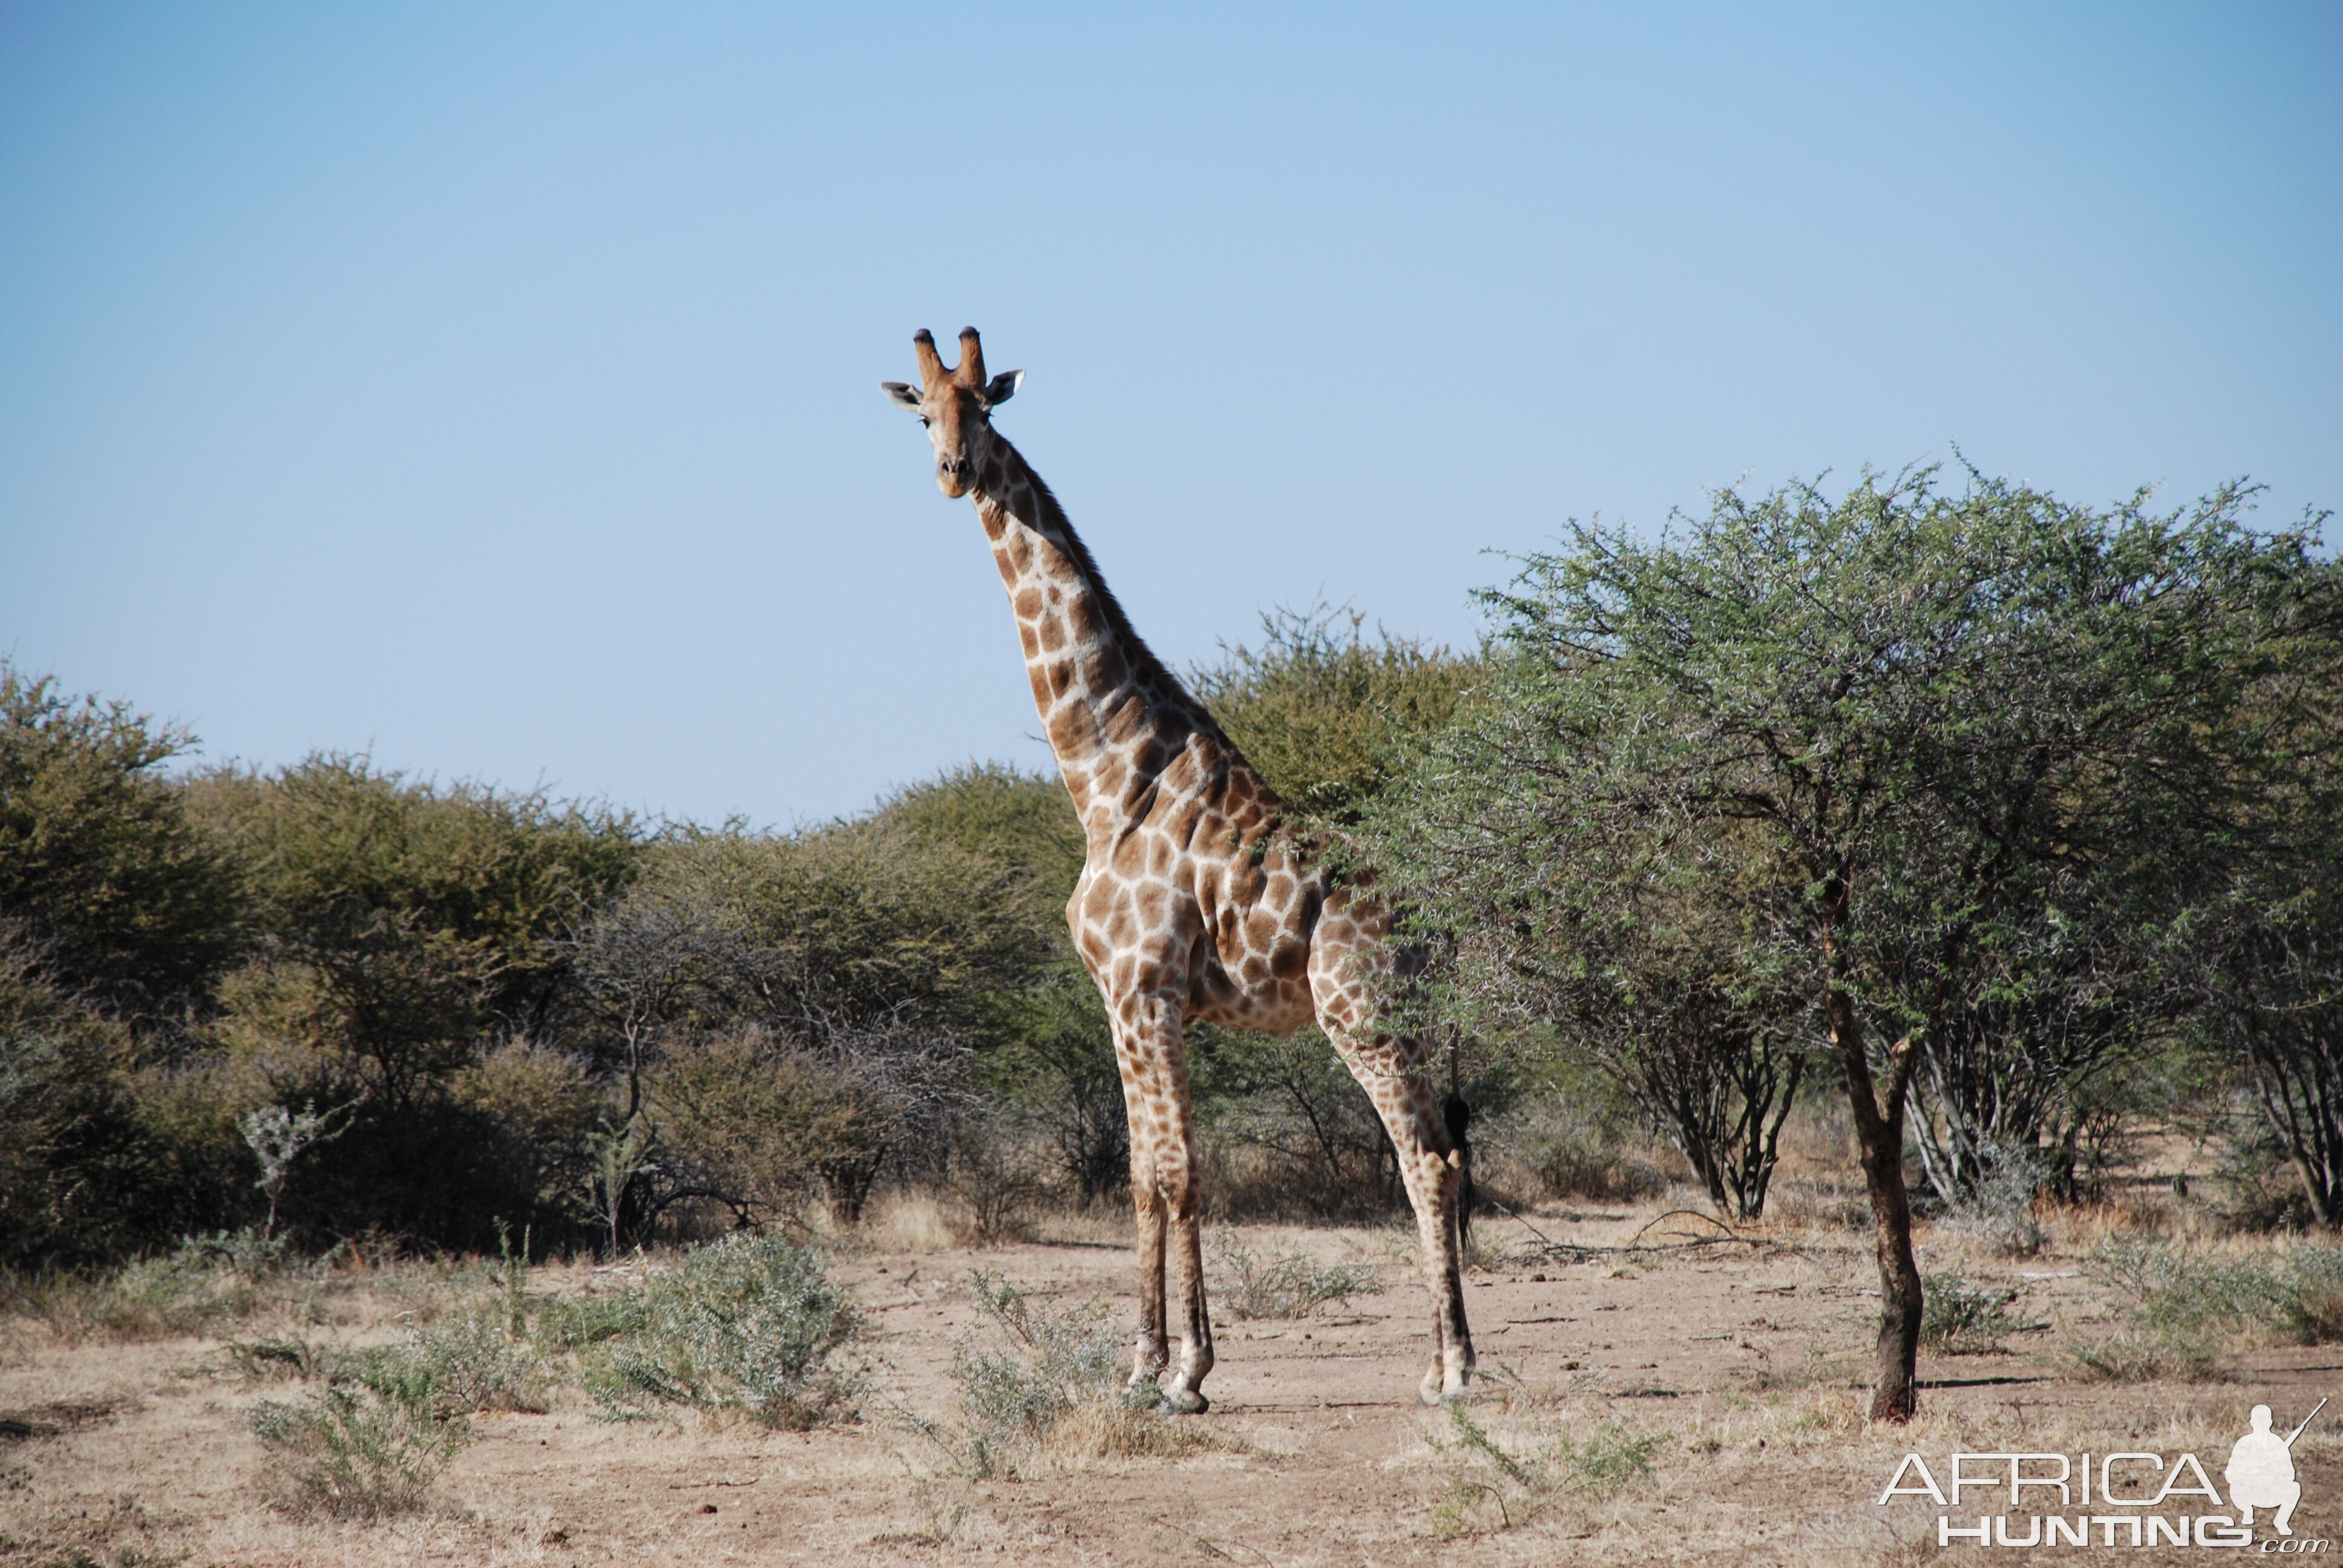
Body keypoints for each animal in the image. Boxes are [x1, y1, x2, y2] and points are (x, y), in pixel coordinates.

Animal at [885, 330, 1471, 1406]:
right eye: (924, 415)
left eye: (982, 409)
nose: (951, 473)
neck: (1109, 776)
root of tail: (1431, 921)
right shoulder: (1126, 1000)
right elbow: (1149, 1174)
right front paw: (1161, 1364)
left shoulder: (1142, 990)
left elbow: (1170, 1173)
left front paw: (1174, 1372)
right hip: (1407, 1023)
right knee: (1445, 1152)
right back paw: (1441, 1360)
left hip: (1361, 1016)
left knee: (1427, 1161)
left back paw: (1453, 1372)